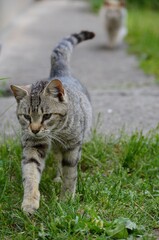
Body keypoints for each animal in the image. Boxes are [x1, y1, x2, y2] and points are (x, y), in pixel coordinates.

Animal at [10, 30, 95, 214]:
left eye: (47, 116)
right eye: (27, 117)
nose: (35, 129)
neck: (57, 132)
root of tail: (60, 74)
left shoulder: (73, 147)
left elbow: (70, 174)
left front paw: (67, 199)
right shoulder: (33, 144)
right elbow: (31, 172)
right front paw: (30, 201)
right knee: (56, 159)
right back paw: (57, 177)